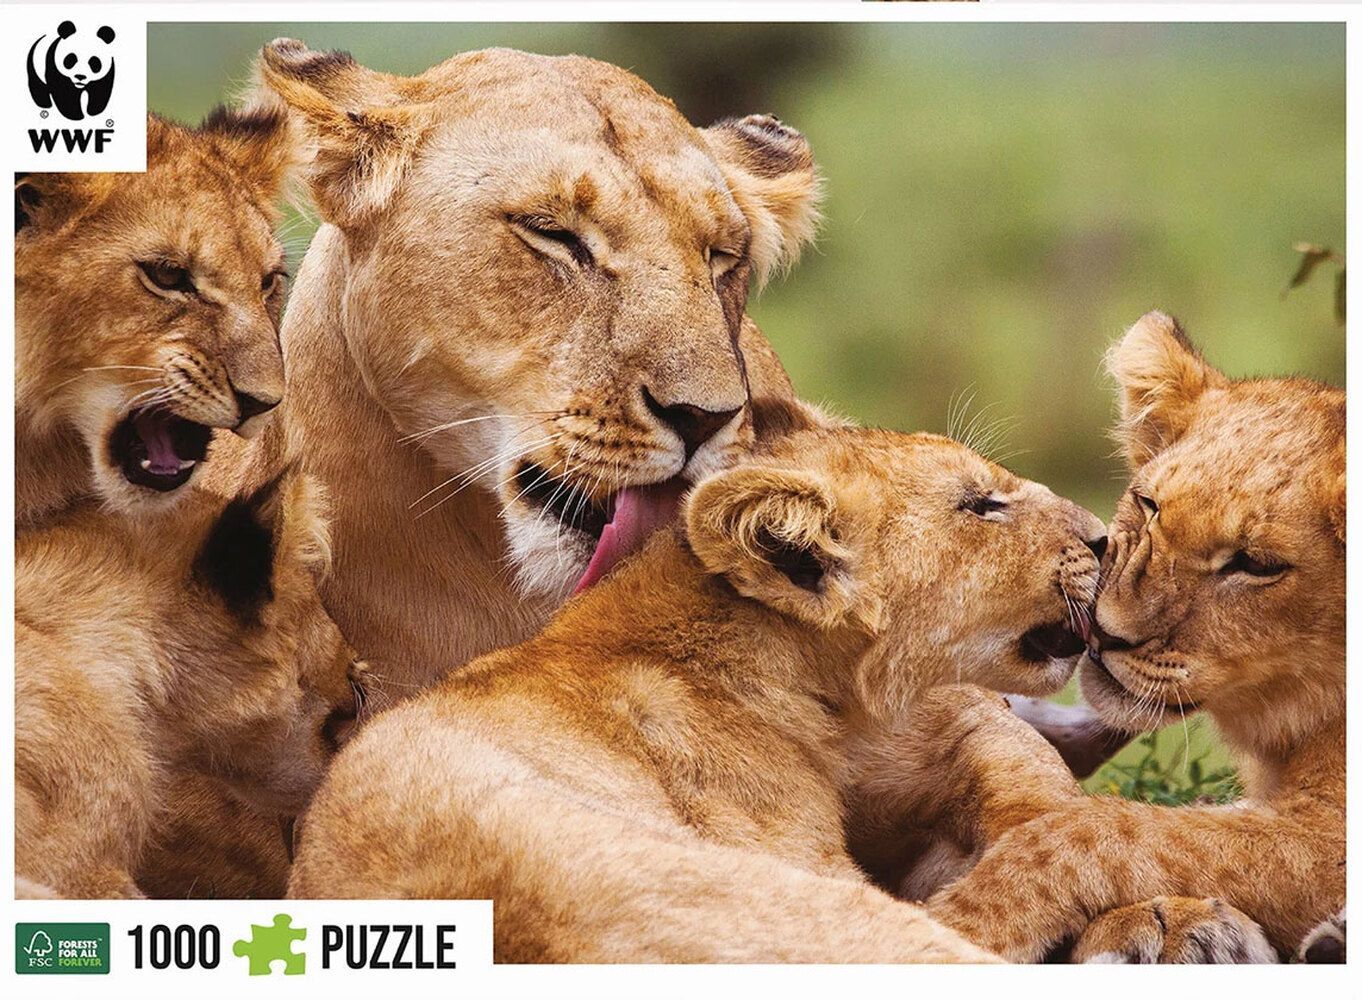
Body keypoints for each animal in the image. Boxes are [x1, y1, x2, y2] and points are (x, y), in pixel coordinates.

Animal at [908, 312, 1344, 962]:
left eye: (1258, 565)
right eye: (1148, 503)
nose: (1105, 631)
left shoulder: (1326, 838)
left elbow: (1108, 829)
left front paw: (963, 920)